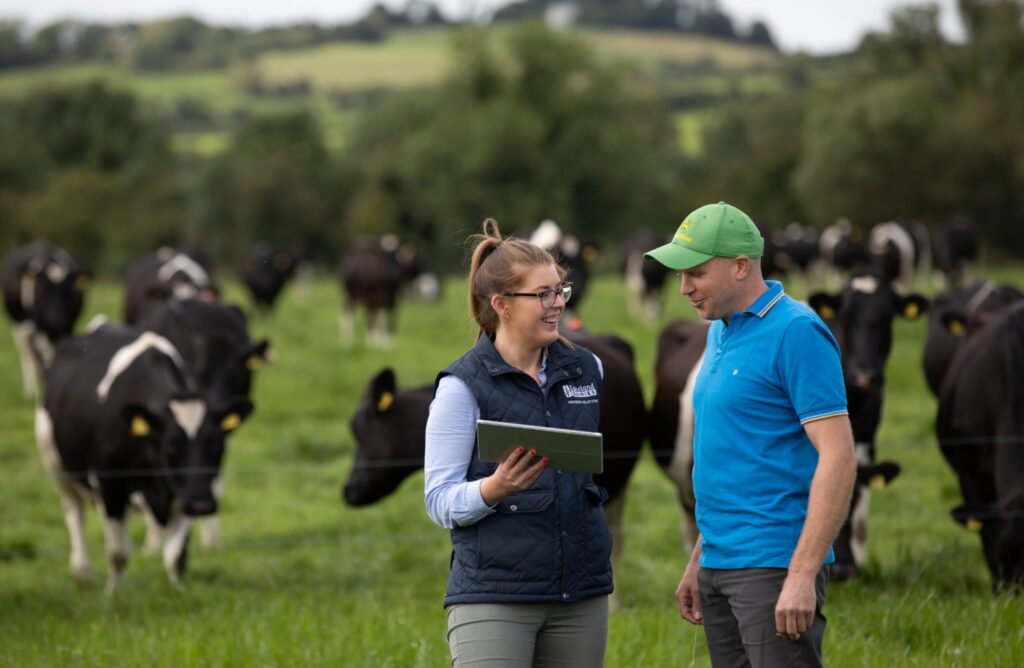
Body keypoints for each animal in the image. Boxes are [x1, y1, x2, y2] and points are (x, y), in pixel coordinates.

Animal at [1, 243, 90, 397]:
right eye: (42, 290)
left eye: (68, 292)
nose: (55, 321)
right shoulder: (39, 329)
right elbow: (42, 363)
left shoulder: (68, 327)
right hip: (20, 328)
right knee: (28, 356)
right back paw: (30, 391)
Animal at [37, 323, 251, 590]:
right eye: (171, 445)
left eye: (217, 445)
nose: (202, 505)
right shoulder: (111, 489)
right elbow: (118, 554)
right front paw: (114, 593)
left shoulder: (185, 492)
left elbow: (175, 556)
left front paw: (178, 591)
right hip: (56, 465)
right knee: (75, 513)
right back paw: (82, 571)